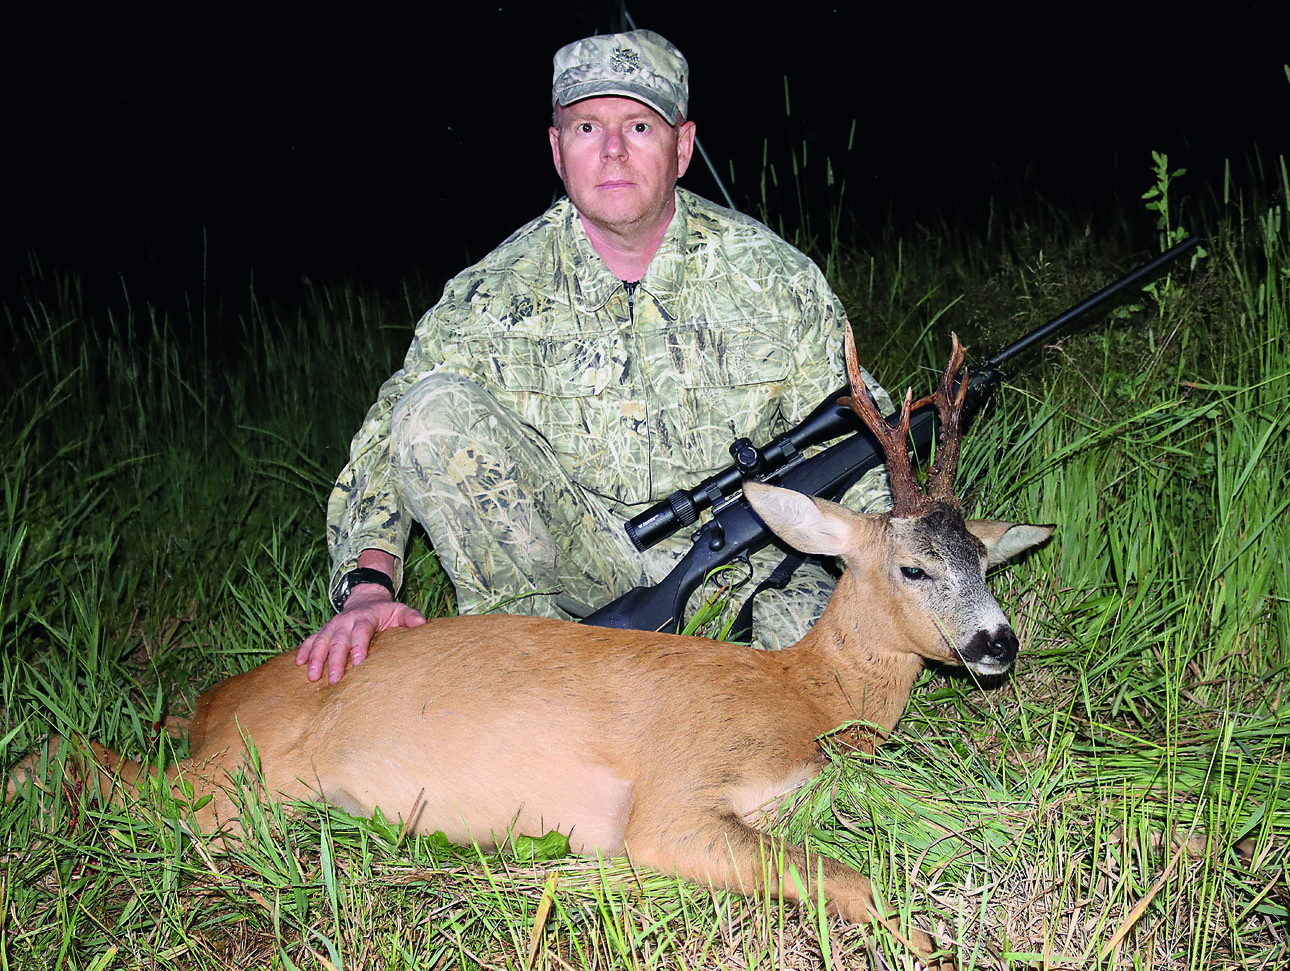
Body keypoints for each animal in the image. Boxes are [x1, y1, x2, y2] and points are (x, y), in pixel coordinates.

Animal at [10, 330, 1052, 964]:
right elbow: (851, 878)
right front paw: (935, 943)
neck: (804, 695)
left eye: (983, 558)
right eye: (915, 565)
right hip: (234, 782)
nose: (997, 643)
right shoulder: (671, 805)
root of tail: (214, 699)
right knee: (68, 752)